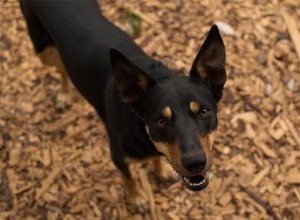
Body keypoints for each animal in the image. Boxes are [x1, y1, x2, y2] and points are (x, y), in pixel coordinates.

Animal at [19, 0, 225, 208]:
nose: (195, 163)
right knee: (60, 67)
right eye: (160, 121)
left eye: (204, 111)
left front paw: (161, 171)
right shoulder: (118, 157)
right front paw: (137, 197)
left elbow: (156, 159)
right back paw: (63, 94)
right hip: (43, 49)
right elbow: (128, 178)